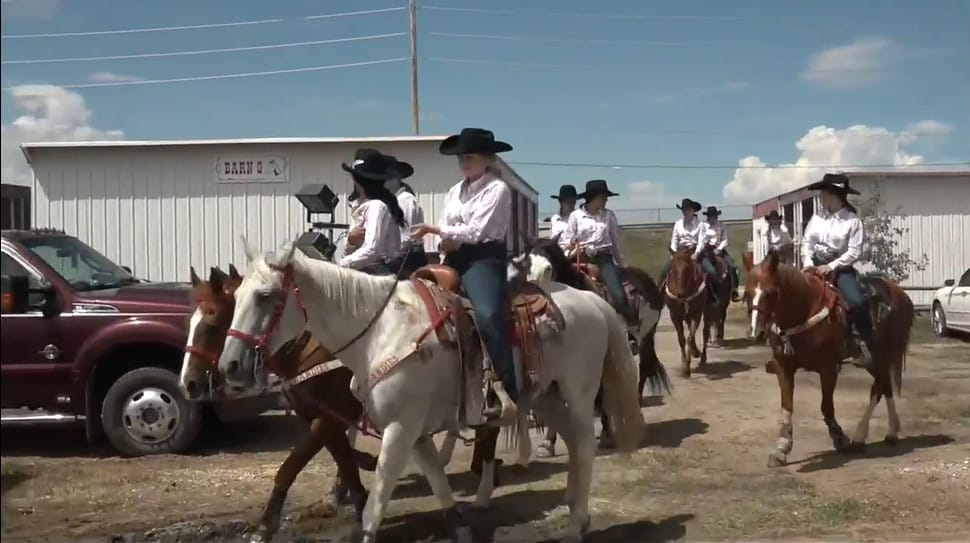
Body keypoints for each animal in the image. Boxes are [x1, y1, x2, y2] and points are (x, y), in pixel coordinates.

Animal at [217, 242, 644, 543]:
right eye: (234, 299)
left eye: (265, 296)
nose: (229, 365)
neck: (379, 333)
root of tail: (591, 299)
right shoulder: (415, 433)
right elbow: (437, 483)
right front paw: (460, 527)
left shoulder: (398, 428)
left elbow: (378, 497)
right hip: (547, 396)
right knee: (571, 443)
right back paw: (573, 510)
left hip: (578, 392)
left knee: (584, 444)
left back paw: (575, 523)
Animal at [744, 252, 912, 468]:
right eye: (747, 293)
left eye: (771, 293)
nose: (756, 333)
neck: (805, 310)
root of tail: (902, 295)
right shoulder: (784, 367)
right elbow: (787, 406)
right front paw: (781, 448)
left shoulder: (828, 368)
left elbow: (826, 406)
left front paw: (840, 438)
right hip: (873, 360)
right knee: (884, 386)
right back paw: (890, 432)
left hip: (884, 354)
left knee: (878, 389)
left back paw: (861, 437)